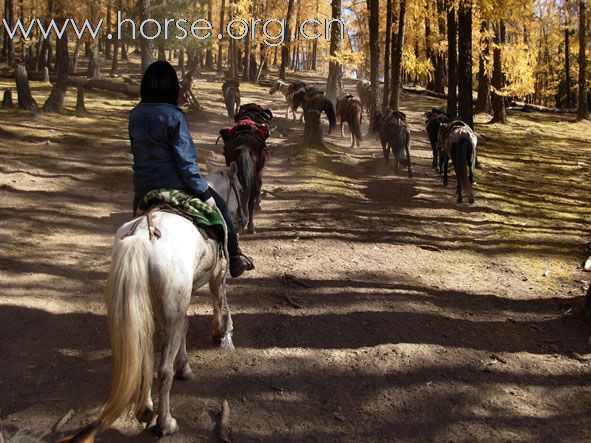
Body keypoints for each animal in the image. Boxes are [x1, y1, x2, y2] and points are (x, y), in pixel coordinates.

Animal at [65, 164, 247, 443]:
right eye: (238, 189)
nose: (244, 220)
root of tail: (143, 235)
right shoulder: (215, 276)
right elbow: (216, 302)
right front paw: (219, 334)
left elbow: (184, 328)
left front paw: (185, 366)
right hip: (171, 306)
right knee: (162, 370)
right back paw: (165, 423)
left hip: (144, 308)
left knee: (144, 355)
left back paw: (145, 409)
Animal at [220, 105, 272, 236]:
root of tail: (243, 147)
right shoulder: (258, 172)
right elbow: (259, 186)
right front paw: (259, 203)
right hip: (254, 175)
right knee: (250, 201)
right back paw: (250, 226)